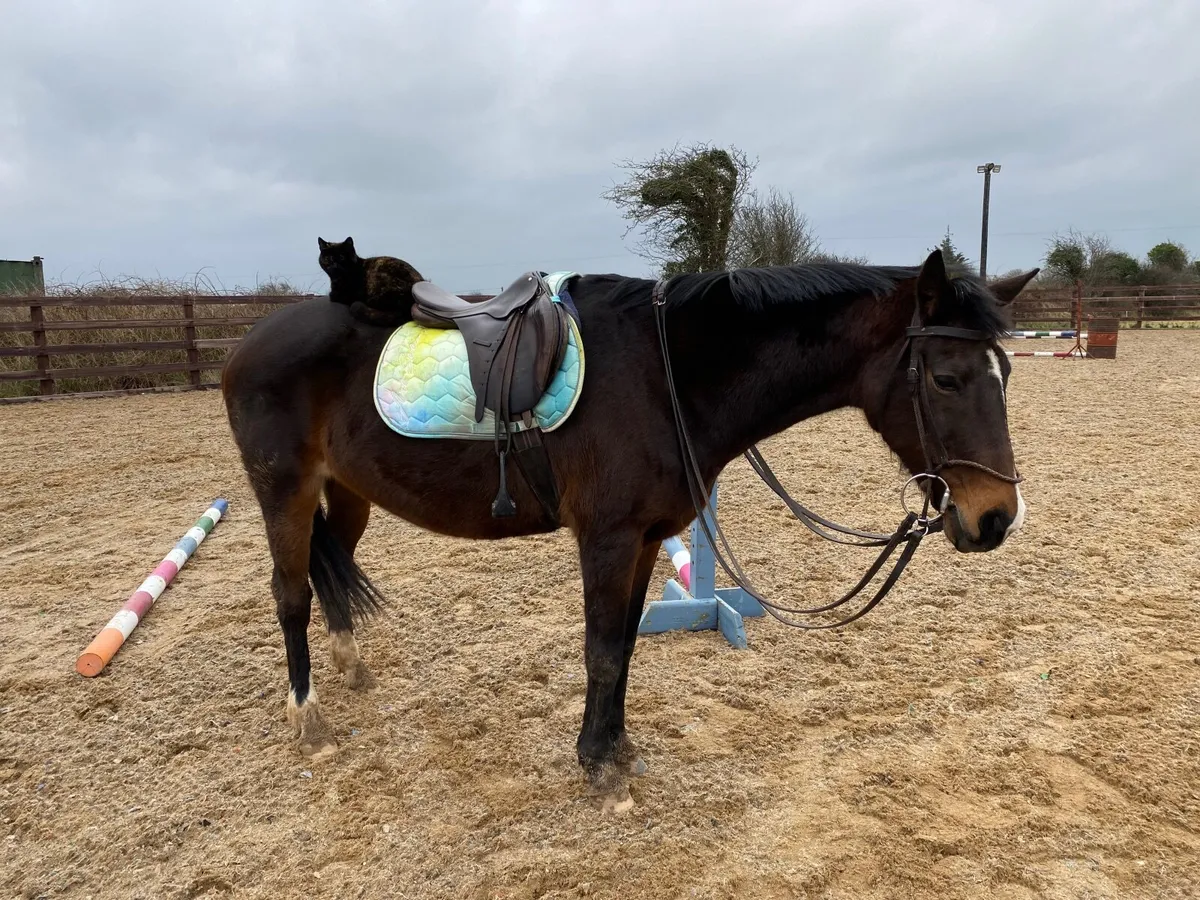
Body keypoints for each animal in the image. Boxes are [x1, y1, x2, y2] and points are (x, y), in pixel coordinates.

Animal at [220, 248, 1038, 813]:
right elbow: (604, 652)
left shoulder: (647, 539)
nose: (995, 517)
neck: (664, 371)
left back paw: (351, 669)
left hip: (347, 493)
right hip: (284, 491)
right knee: (289, 593)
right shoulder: (608, 538)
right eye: (945, 379)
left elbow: (625, 652)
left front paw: (616, 749)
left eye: (1004, 375)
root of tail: (249, 341)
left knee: (327, 576)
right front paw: (600, 770)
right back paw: (310, 719)